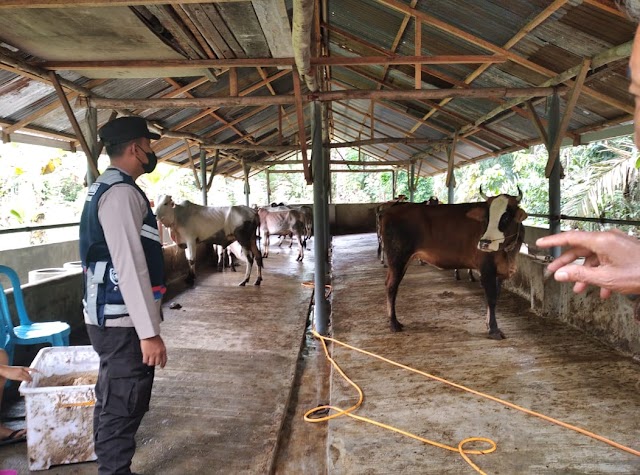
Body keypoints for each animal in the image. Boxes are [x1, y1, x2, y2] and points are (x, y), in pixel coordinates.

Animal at [380, 188, 524, 340]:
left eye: (506, 217)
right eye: (487, 217)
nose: (484, 243)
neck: (508, 253)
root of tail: (390, 210)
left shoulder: (499, 272)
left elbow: (496, 297)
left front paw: (489, 325)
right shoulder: (487, 268)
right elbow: (491, 298)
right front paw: (494, 330)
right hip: (398, 258)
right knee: (391, 287)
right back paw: (394, 323)